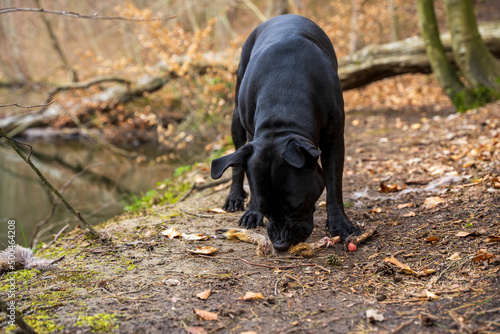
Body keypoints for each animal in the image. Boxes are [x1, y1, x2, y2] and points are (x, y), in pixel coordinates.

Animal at [211, 15, 360, 250]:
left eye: (296, 206)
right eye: (265, 209)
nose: (280, 245)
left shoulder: (335, 139)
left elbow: (334, 184)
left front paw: (339, 223)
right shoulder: (253, 140)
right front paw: (252, 211)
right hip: (236, 118)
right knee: (235, 162)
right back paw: (235, 197)